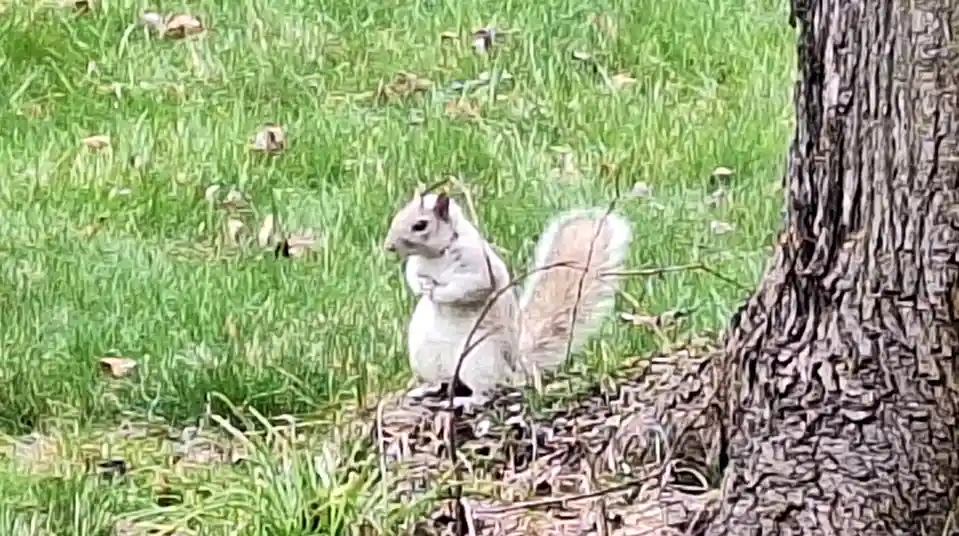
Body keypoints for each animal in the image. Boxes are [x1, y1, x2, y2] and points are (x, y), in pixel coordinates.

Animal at [382, 190, 632, 410]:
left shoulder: (478, 268)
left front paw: (436, 292)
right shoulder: (416, 265)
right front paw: (421, 288)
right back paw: (426, 389)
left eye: (420, 225)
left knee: (484, 391)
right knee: (442, 382)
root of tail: (514, 367)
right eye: (399, 215)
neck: (435, 256)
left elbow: (467, 287)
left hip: (479, 360)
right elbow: (412, 275)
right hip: (424, 355)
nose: (389, 246)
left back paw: (467, 400)